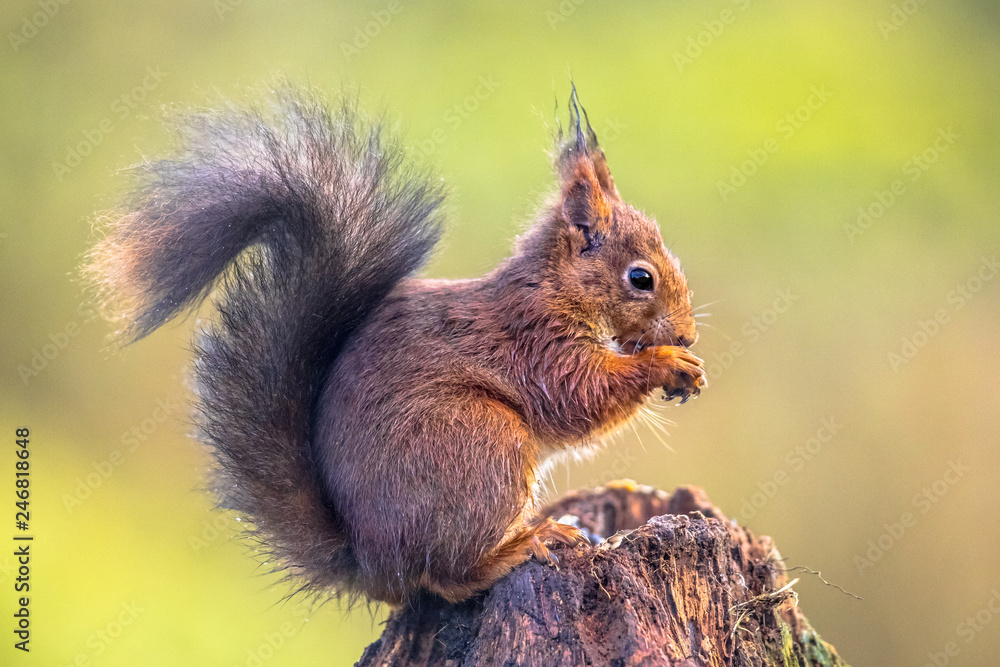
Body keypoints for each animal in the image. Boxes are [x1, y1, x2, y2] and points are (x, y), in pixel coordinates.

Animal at [90, 83, 708, 604]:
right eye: (640, 278)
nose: (687, 333)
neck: (557, 289)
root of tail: (370, 564)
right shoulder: (539, 344)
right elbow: (583, 396)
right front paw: (670, 363)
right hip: (480, 443)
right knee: (448, 576)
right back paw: (526, 544)